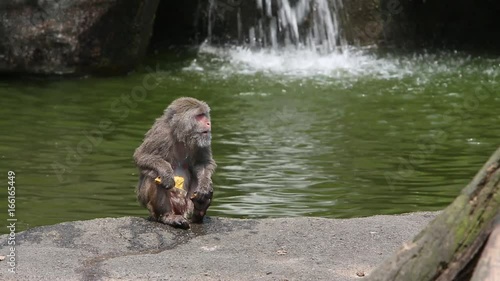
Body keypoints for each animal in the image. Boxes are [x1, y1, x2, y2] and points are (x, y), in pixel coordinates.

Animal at [134, 96, 216, 228]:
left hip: (186, 206)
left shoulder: (201, 140)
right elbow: (141, 156)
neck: (181, 136)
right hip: (155, 209)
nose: (208, 123)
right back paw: (168, 216)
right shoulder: (160, 134)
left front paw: (204, 187)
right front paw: (167, 173)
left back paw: (198, 210)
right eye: (199, 116)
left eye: (204, 115)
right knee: (153, 175)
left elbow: (203, 163)